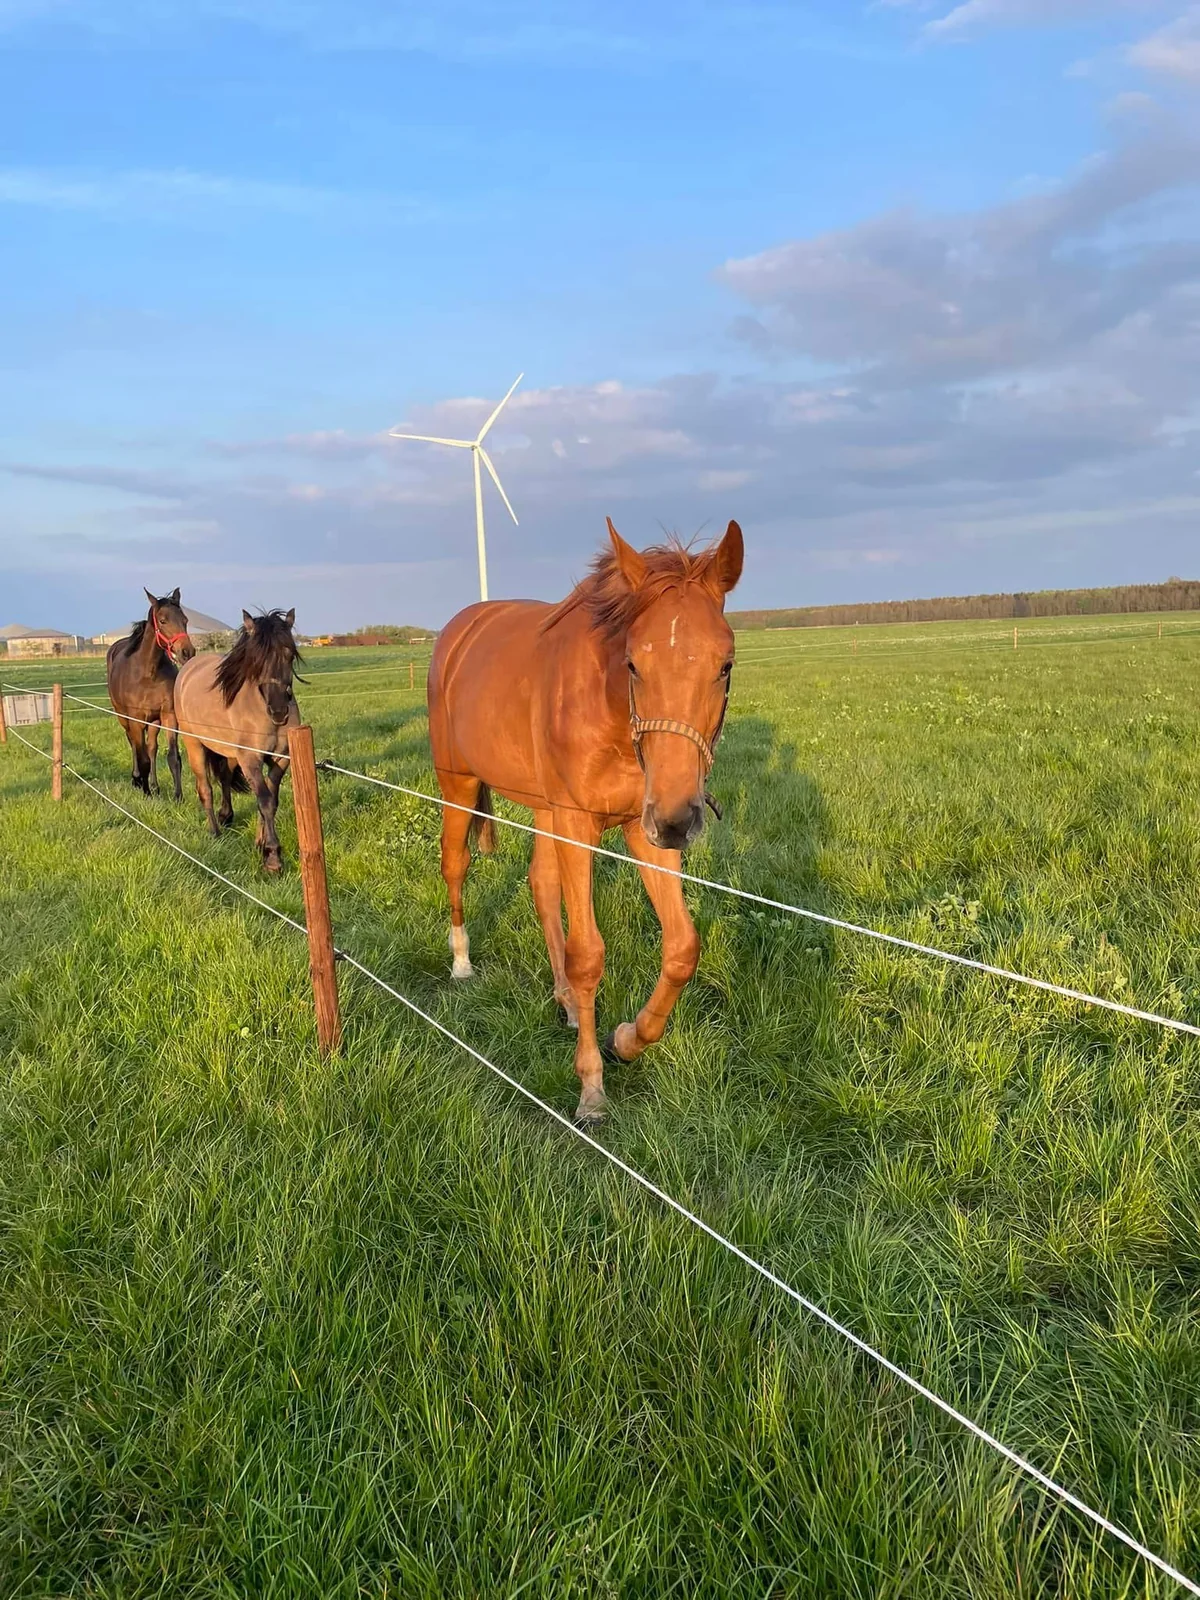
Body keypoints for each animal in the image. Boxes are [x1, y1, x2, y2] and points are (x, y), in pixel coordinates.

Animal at [106, 587, 196, 799]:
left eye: (185, 620)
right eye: (163, 621)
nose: (187, 652)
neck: (148, 674)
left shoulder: (169, 715)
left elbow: (172, 757)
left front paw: (177, 796)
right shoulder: (136, 719)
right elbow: (142, 757)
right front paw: (145, 791)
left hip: (154, 721)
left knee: (152, 747)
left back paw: (155, 786)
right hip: (123, 717)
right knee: (133, 743)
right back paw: (137, 780)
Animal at [174, 608, 301, 872]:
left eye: (289, 653)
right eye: (256, 659)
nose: (279, 711)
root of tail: (188, 666)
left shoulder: (281, 760)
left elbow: (271, 800)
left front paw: (260, 843)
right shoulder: (250, 759)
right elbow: (264, 800)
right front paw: (272, 856)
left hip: (229, 752)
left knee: (223, 779)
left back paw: (226, 815)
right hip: (195, 745)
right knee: (205, 788)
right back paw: (214, 831)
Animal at [428, 517, 743, 1121]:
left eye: (725, 666)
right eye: (633, 662)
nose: (680, 821)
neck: (609, 709)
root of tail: (458, 632)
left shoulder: (640, 826)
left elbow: (681, 948)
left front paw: (628, 1038)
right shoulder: (581, 823)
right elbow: (589, 954)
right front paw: (592, 1086)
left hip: (546, 810)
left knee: (541, 884)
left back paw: (568, 1003)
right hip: (460, 786)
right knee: (455, 864)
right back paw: (461, 963)